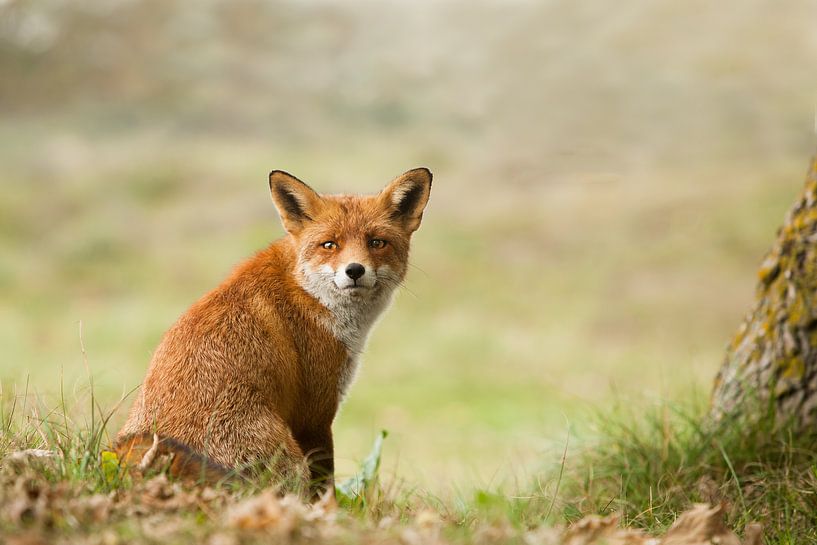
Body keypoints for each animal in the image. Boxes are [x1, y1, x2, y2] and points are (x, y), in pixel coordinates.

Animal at [116, 169, 434, 492]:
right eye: (329, 245)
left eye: (377, 242)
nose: (355, 270)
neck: (304, 288)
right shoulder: (314, 413)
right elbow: (324, 486)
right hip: (289, 461)